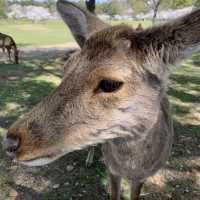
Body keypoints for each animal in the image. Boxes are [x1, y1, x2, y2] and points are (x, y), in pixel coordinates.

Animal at [2, 0, 200, 198]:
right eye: (66, 68)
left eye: (111, 83)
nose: (9, 143)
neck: (131, 167)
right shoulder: (112, 170)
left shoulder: (142, 177)